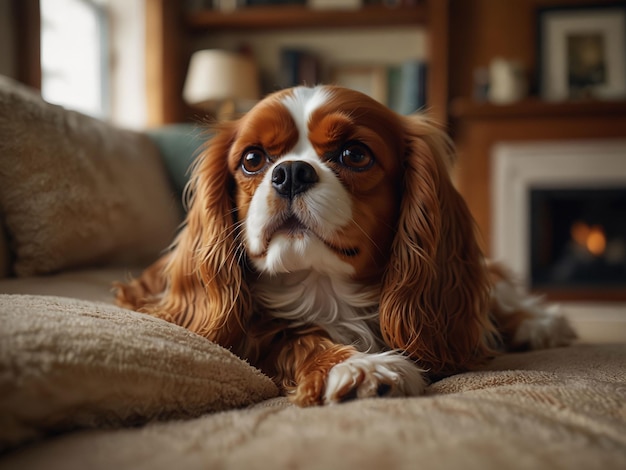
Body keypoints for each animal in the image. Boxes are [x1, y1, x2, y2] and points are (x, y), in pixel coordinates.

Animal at [113, 86, 576, 406]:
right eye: (252, 159)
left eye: (354, 154)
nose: (291, 173)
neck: (323, 288)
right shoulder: (251, 336)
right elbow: (295, 338)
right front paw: (357, 365)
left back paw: (539, 323)